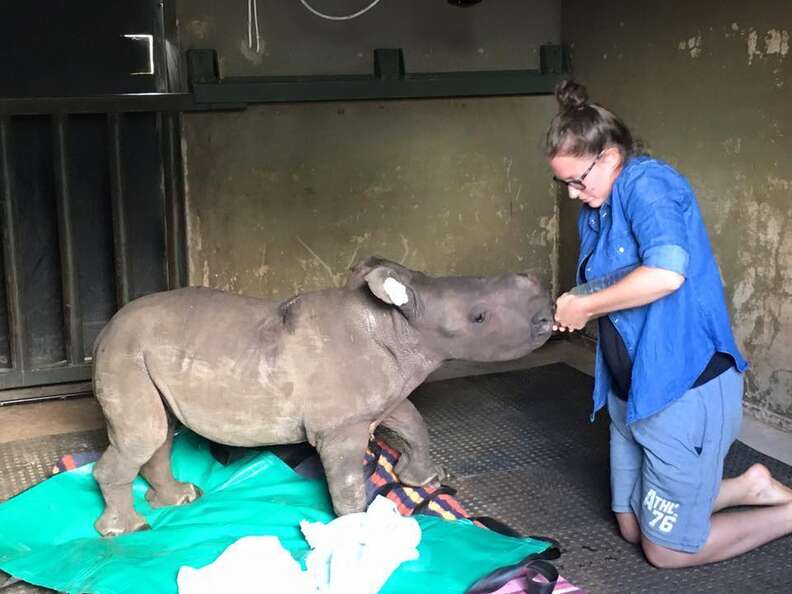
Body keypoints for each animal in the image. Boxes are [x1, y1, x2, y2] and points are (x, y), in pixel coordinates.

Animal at [91, 256, 553, 536]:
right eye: (479, 317)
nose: (548, 315)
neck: (400, 326)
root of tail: (105, 330)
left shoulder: (382, 394)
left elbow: (412, 422)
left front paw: (423, 479)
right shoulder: (339, 426)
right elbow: (347, 480)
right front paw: (356, 535)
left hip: (146, 353)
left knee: (159, 432)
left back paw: (178, 499)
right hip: (125, 352)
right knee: (144, 435)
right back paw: (127, 529)